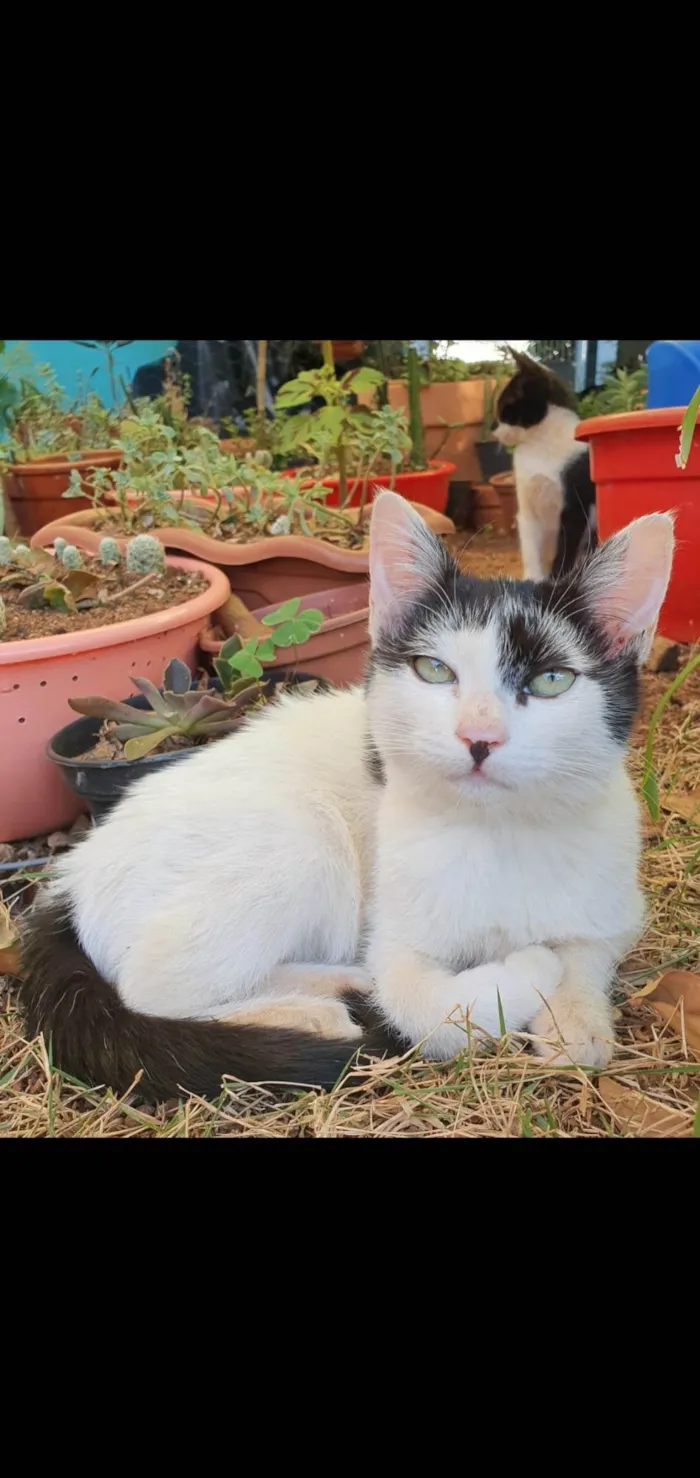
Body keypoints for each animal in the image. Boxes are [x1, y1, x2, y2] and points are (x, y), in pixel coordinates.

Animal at [19, 490, 673, 1105]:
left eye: (551, 680)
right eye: (434, 671)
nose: (479, 737)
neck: (498, 832)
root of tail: (71, 878)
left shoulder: (616, 899)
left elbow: (590, 948)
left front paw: (577, 1022)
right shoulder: (398, 938)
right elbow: (425, 1007)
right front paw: (529, 969)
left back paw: (333, 983)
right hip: (297, 840)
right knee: (151, 987)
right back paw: (313, 1014)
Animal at [493, 348, 596, 579]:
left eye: (504, 407)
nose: (492, 428)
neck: (538, 444)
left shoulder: (574, 508)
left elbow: (566, 549)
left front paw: (557, 579)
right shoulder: (526, 506)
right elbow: (530, 547)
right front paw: (533, 578)